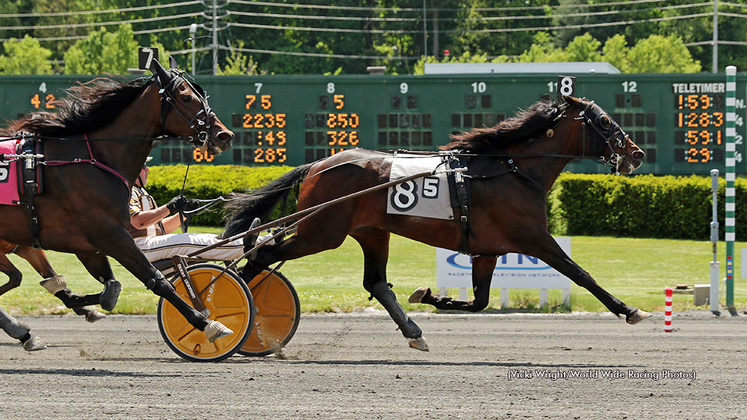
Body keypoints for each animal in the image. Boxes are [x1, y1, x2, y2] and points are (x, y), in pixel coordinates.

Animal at [0, 57, 237, 342]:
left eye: (203, 95)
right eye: (185, 96)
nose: (224, 135)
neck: (93, 160)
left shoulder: (88, 244)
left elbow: (109, 287)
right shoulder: (111, 234)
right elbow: (156, 279)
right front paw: (207, 323)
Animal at [225, 95, 652, 352]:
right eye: (603, 120)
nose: (637, 153)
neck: (511, 169)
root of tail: (318, 164)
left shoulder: (487, 249)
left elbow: (479, 301)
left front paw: (430, 296)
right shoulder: (533, 238)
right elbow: (580, 274)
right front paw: (629, 309)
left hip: (371, 231)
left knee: (375, 282)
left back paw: (414, 333)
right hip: (321, 232)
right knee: (260, 256)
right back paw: (232, 315)